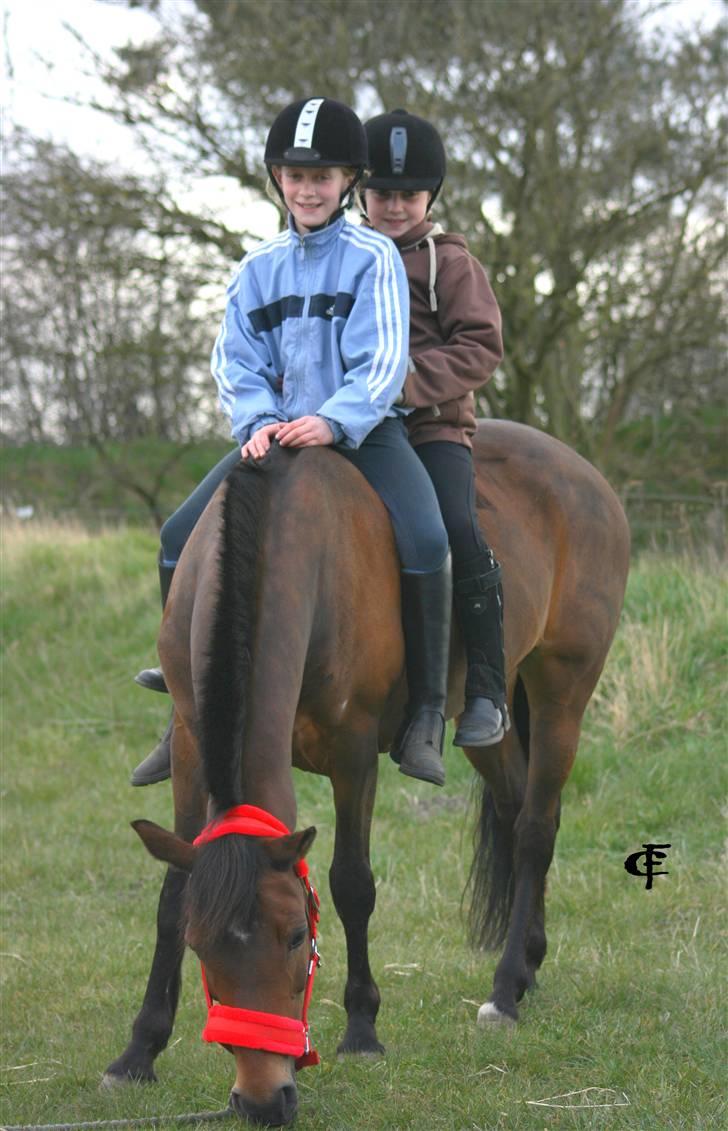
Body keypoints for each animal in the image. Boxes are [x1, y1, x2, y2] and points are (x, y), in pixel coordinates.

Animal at [104, 422, 633, 1121]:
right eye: (201, 947)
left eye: (297, 937)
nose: (262, 1101)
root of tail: (586, 475)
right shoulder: (193, 744)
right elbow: (172, 893)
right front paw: (138, 1052)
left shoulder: (351, 749)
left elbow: (351, 882)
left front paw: (361, 1029)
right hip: (488, 722)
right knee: (516, 807)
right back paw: (528, 965)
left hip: (563, 689)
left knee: (534, 830)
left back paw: (504, 993)